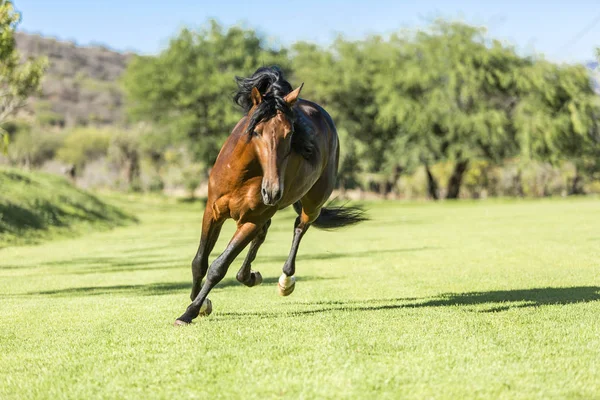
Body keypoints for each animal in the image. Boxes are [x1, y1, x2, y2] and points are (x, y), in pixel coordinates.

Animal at [175, 65, 366, 324]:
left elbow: (218, 266)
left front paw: (190, 311)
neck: (241, 176)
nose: (273, 191)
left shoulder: (250, 221)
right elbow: (199, 262)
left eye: (290, 132)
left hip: (313, 202)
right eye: (256, 132)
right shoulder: (213, 212)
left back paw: (285, 281)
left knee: (299, 226)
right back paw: (248, 276)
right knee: (265, 234)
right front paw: (201, 303)